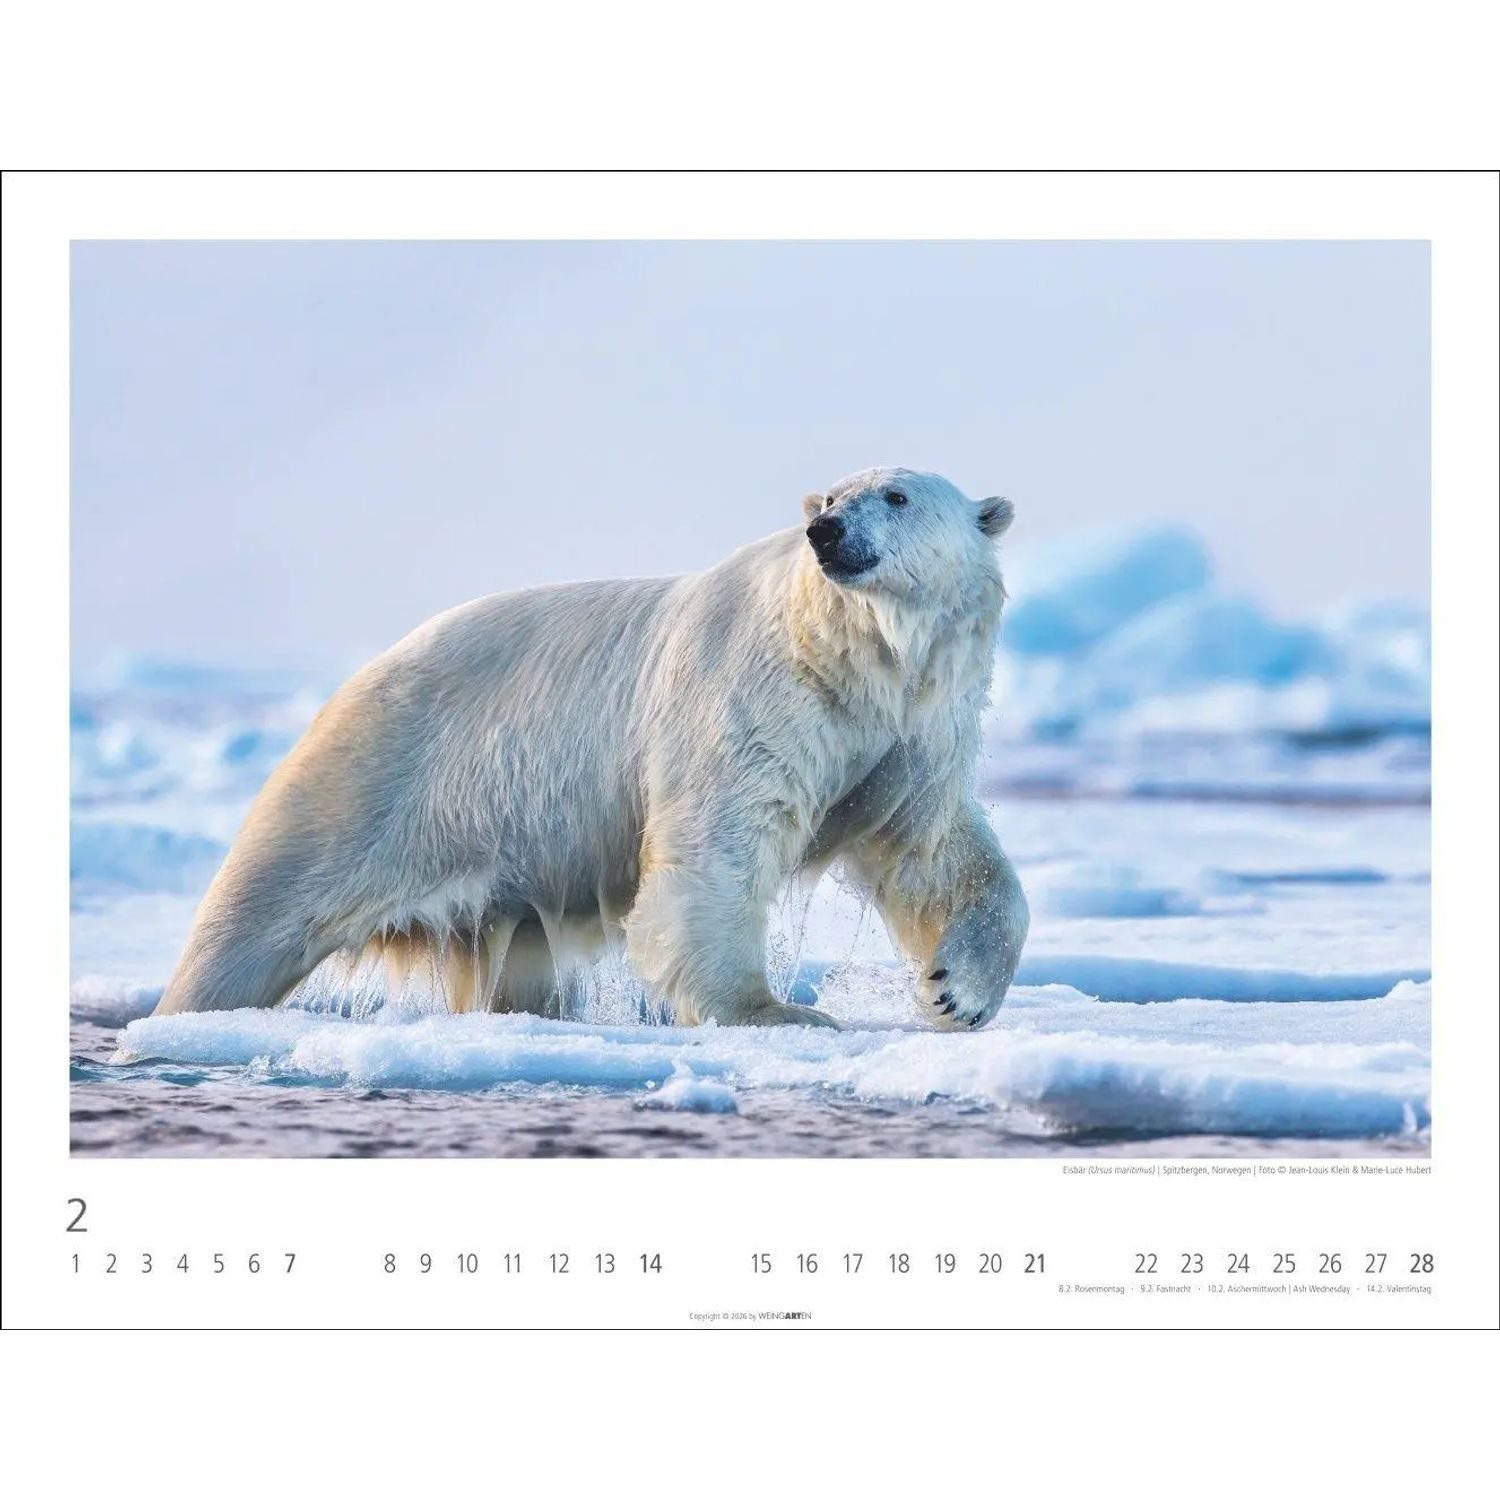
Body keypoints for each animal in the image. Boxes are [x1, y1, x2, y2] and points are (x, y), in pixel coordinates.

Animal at [154, 466, 1029, 1030]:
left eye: (897, 495)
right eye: (835, 494)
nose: (827, 529)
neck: (850, 655)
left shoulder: (907, 731)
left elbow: (931, 851)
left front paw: (954, 991)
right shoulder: (752, 694)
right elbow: (720, 845)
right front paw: (775, 1010)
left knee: (515, 961)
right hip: (369, 781)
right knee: (251, 923)